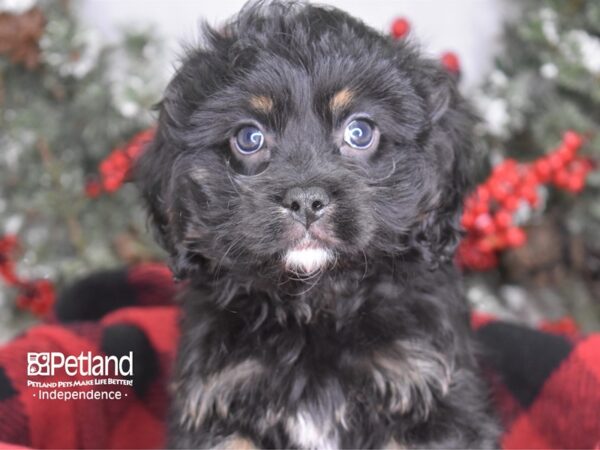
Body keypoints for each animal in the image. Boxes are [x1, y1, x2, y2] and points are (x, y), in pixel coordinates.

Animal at [135, 2, 496, 446]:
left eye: (360, 132)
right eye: (249, 138)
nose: (305, 200)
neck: (314, 306)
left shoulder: (426, 387)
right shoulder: (219, 399)